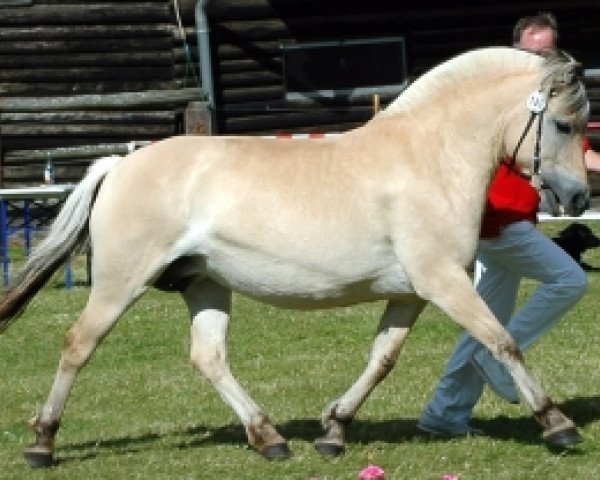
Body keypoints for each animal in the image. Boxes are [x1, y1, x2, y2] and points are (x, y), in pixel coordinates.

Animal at [0, 47, 592, 466]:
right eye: (563, 124)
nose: (579, 198)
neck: (431, 157)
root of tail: (119, 165)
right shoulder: (444, 282)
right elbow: (503, 341)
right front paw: (557, 424)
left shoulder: (411, 294)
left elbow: (382, 360)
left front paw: (334, 430)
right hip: (120, 283)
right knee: (79, 345)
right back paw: (43, 443)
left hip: (205, 283)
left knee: (208, 357)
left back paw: (269, 439)